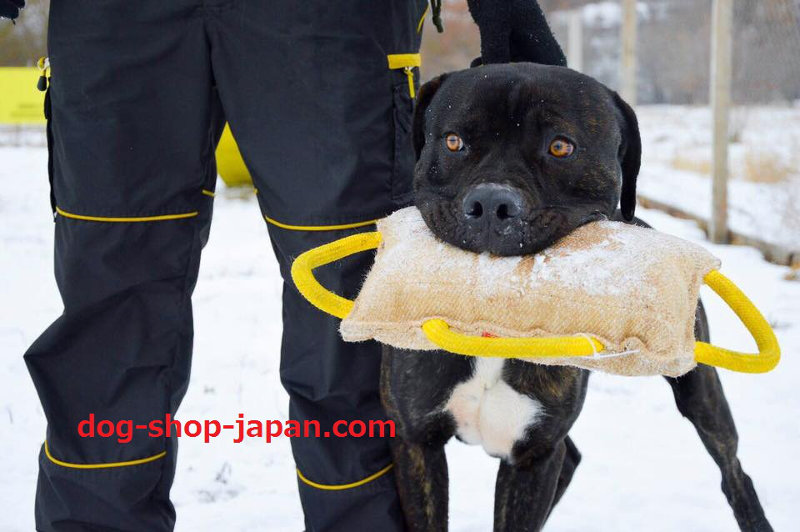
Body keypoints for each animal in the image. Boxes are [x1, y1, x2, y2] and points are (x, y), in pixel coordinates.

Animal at [378, 64, 772, 532]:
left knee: (733, 470)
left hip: (700, 391)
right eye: (454, 141)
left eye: (560, 146)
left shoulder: (533, 457)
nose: (491, 203)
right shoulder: (417, 444)